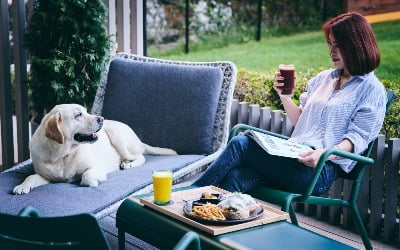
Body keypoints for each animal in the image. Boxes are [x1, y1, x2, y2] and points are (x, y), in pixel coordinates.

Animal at [12, 102, 177, 194]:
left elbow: (87, 176)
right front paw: (22, 186)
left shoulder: (97, 168)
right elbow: (31, 177)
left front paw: (90, 181)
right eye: (78, 115)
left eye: (86, 111)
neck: (62, 155)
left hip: (116, 134)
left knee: (140, 156)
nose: (101, 118)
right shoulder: (47, 177)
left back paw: (128, 163)